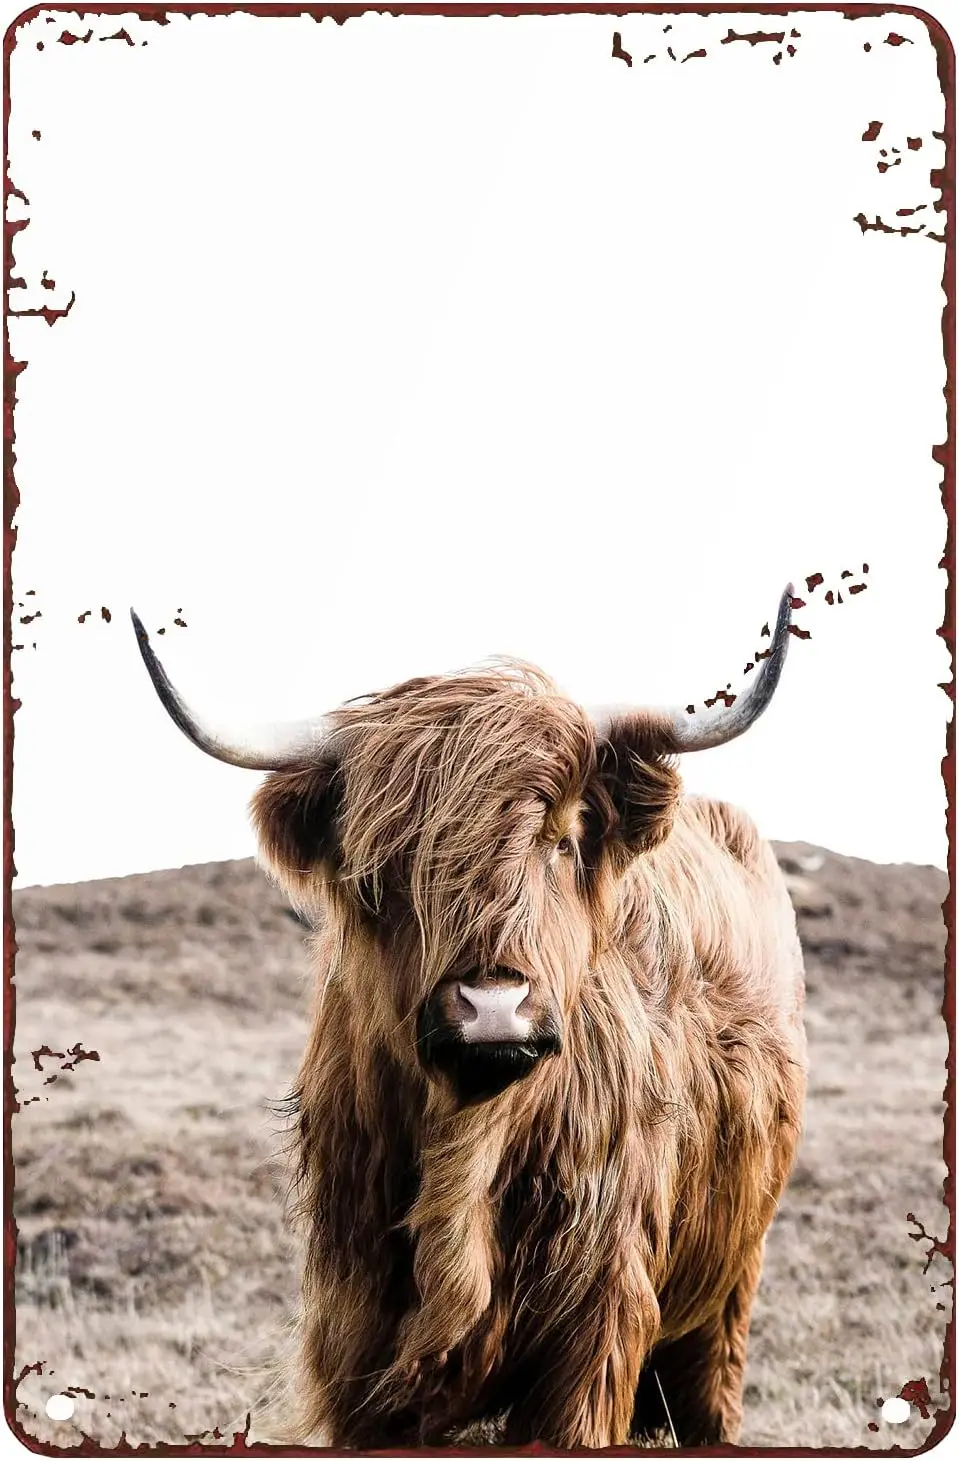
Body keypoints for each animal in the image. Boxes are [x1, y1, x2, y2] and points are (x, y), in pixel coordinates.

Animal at [131, 589, 806, 1449]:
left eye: (561, 840)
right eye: (385, 865)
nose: (493, 1008)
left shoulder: (595, 1328)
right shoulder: (357, 1336)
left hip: (728, 1286)